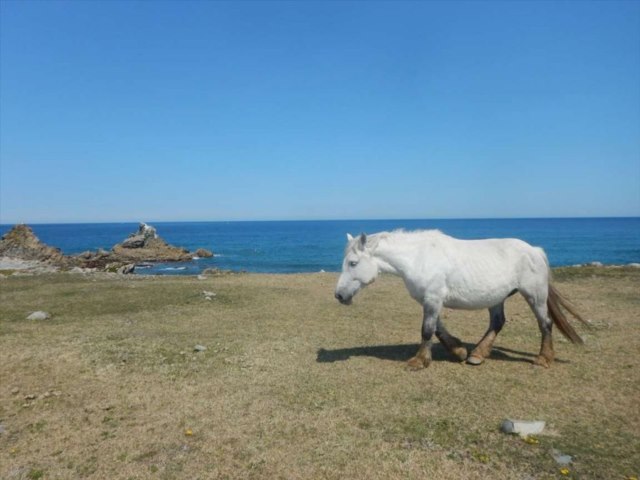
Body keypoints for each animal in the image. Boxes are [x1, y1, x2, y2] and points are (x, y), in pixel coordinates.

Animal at [334, 230, 587, 369]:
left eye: (353, 263)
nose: (339, 295)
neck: (419, 258)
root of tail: (534, 250)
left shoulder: (433, 298)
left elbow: (427, 330)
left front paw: (419, 361)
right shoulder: (429, 300)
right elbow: (437, 329)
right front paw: (458, 351)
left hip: (535, 296)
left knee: (545, 324)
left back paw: (543, 359)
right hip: (497, 298)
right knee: (497, 322)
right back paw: (477, 355)